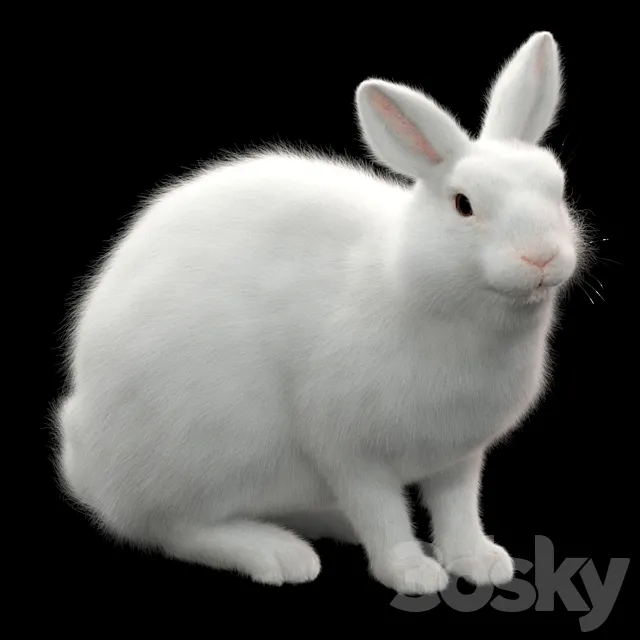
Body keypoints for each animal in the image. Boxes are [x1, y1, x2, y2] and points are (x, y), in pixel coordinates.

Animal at [53, 31, 589, 594]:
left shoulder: (458, 457)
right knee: (177, 528)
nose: (541, 258)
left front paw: (479, 562)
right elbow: (380, 512)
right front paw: (412, 573)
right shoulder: (348, 450)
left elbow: (458, 509)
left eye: (556, 188)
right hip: (211, 454)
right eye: (464, 204)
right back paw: (278, 553)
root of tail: (89, 471)